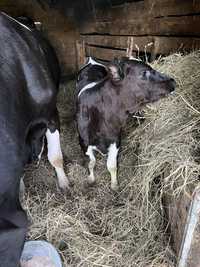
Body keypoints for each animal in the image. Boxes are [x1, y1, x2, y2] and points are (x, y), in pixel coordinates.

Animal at [76, 56, 176, 192]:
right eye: (144, 72)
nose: (173, 81)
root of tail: (91, 61)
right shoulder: (83, 141)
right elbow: (91, 162)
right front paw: (91, 179)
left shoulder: (115, 139)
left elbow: (111, 165)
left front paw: (114, 185)